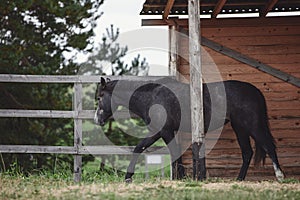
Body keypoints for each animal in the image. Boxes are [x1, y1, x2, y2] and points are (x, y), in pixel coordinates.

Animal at [94, 77, 284, 183]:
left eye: (100, 97)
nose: (97, 120)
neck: (153, 98)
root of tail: (255, 91)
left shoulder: (164, 131)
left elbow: (163, 150)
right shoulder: (159, 132)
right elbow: (142, 148)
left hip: (253, 125)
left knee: (268, 146)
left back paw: (280, 176)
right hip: (240, 128)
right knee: (247, 152)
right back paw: (239, 179)